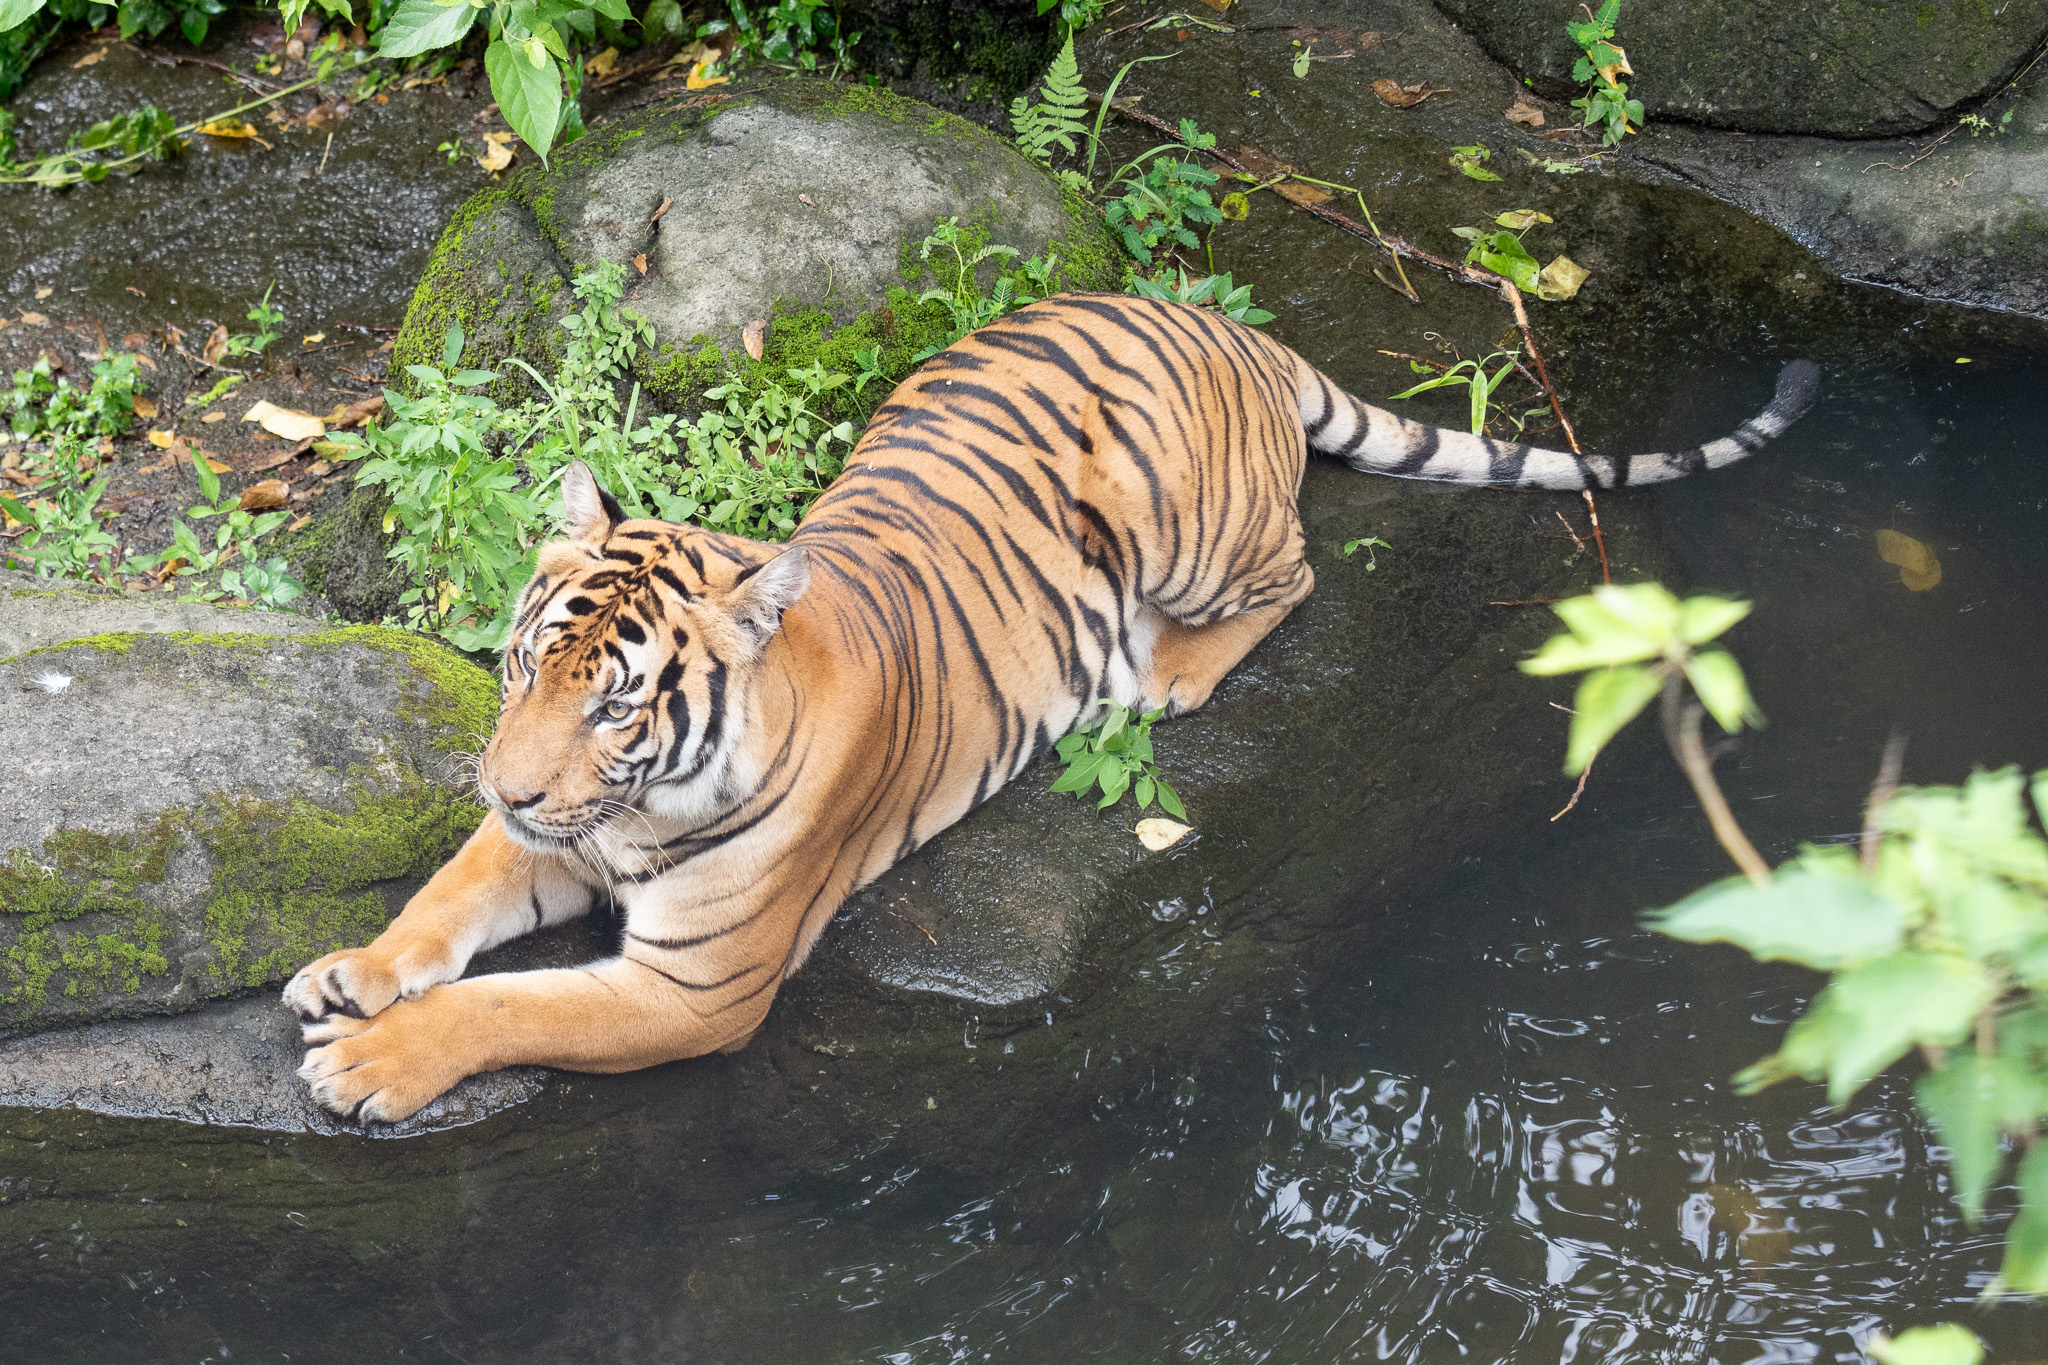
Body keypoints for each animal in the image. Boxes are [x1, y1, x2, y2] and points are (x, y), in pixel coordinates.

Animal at [285, 293, 1818, 1122]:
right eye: (523, 669)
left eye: (617, 709)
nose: (508, 783)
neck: (633, 811)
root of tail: (1230, 324)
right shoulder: (552, 842)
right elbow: (448, 901)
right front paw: (351, 973)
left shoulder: (691, 988)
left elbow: (512, 1007)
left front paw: (369, 1060)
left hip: (1186, 526)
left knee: (1299, 568)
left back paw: (1170, 670)